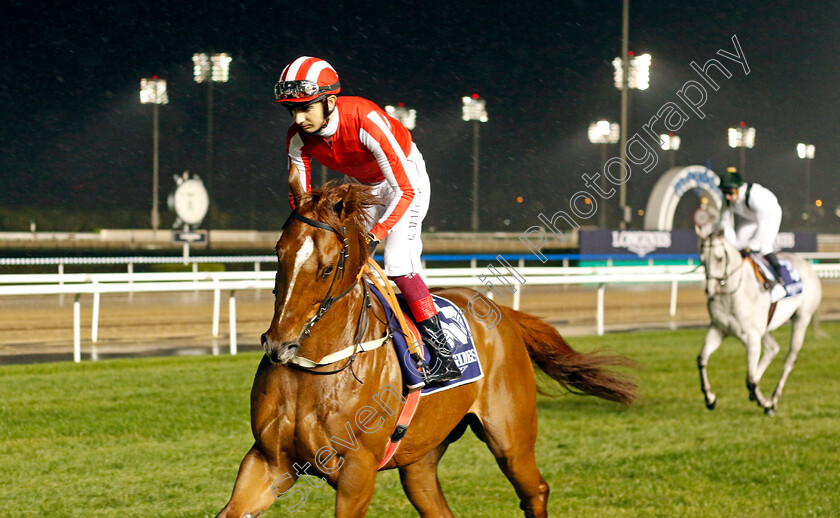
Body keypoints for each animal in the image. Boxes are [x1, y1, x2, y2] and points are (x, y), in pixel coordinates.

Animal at [217, 183, 636, 518]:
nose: (278, 345)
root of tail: (503, 312)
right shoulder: (268, 460)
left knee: (535, 491)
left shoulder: (357, 471)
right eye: (279, 253)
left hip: (511, 437)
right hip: (422, 456)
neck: (314, 368)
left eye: (327, 267)